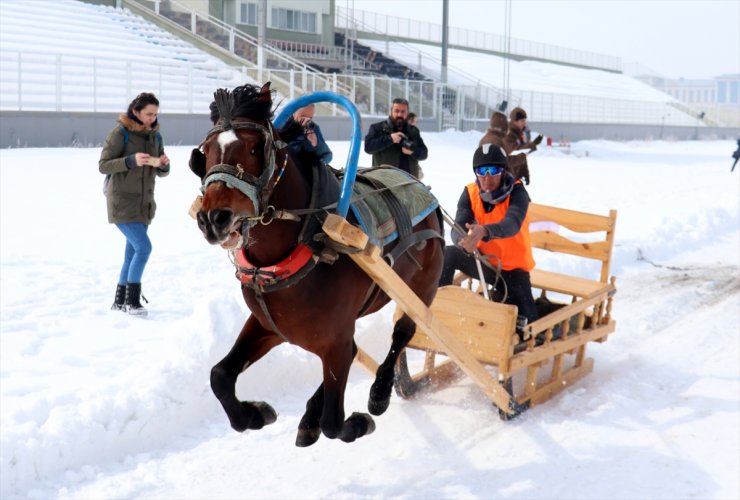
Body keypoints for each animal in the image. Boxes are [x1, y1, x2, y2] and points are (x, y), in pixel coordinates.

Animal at [192, 82, 446, 446]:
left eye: (255, 147)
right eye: (207, 150)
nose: (213, 218)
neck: (311, 239)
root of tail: (418, 184)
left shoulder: (334, 338)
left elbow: (334, 423)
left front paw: (359, 422)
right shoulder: (270, 324)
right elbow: (219, 376)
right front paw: (255, 414)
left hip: (420, 289)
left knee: (402, 333)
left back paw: (380, 392)